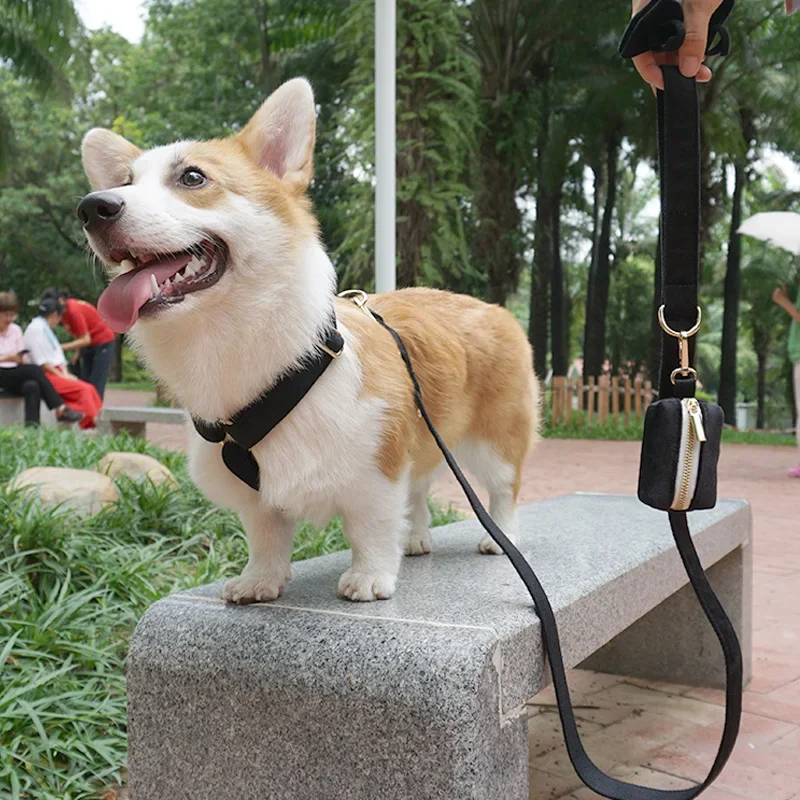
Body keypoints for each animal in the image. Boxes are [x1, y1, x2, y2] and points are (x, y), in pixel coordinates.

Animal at [78, 78, 540, 604]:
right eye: (125, 181)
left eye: (193, 178)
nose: (92, 207)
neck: (237, 342)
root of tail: (496, 309)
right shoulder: (260, 499)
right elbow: (267, 536)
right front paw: (259, 581)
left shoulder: (378, 467)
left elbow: (372, 527)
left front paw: (370, 579)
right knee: (420, 488)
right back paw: (417, 538)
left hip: (496, 441)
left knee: (503, 490)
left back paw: (497, 537)